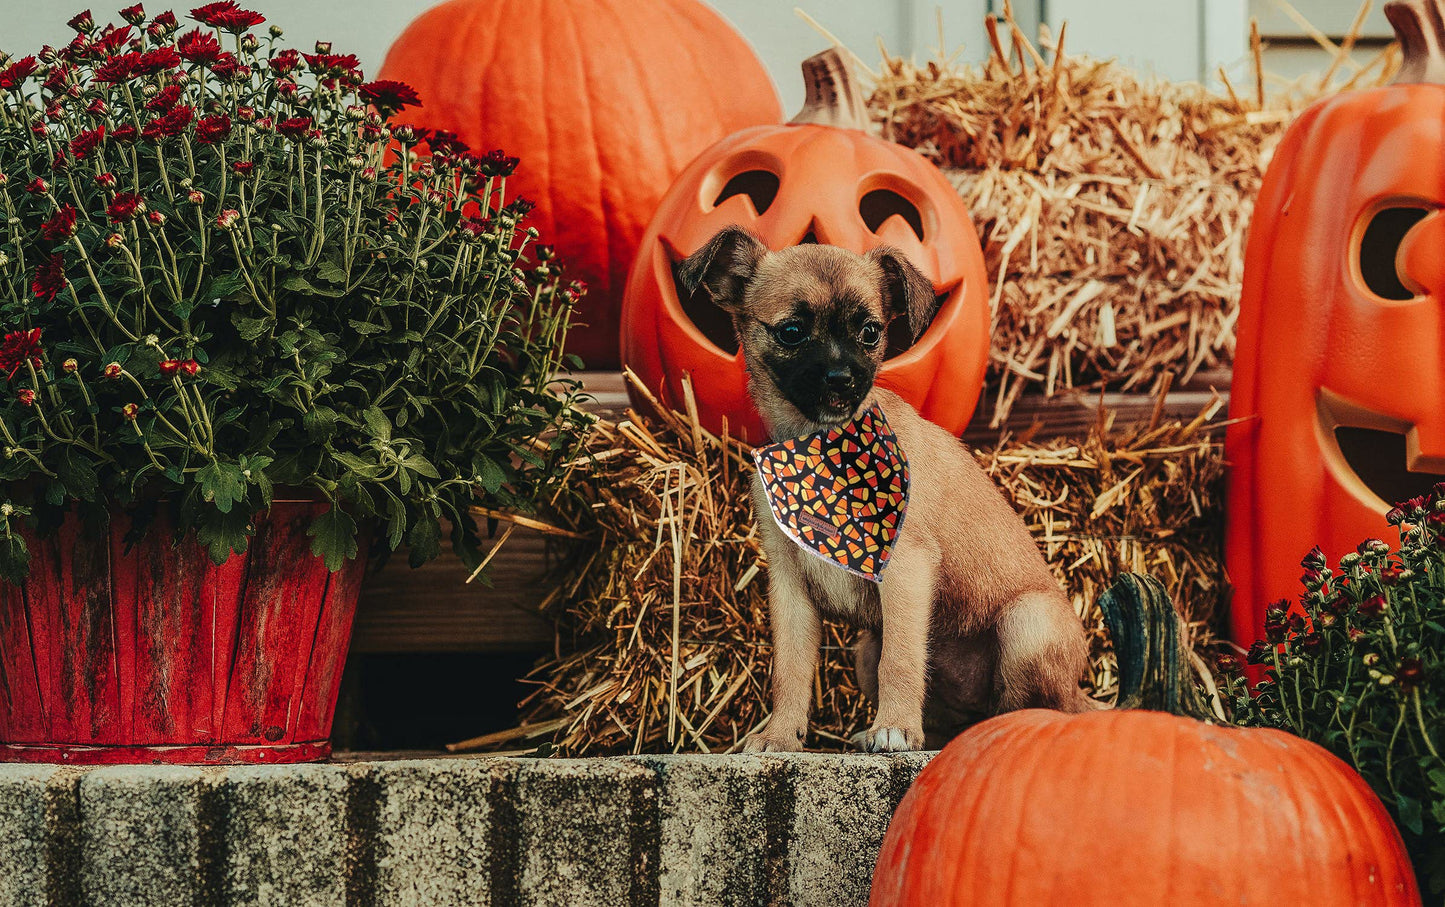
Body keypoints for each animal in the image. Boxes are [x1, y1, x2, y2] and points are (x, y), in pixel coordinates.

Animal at [679, 226, 1092, 751]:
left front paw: (893, 727)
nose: (842, 378)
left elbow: (902, 658)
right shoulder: (790, 587)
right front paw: (780, 735)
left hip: (1029, 626)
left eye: (871, 332)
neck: (820, 450)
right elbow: (790, 668)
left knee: (1025, 708)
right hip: (864, 652)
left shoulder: (906, 569)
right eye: (792, 332)